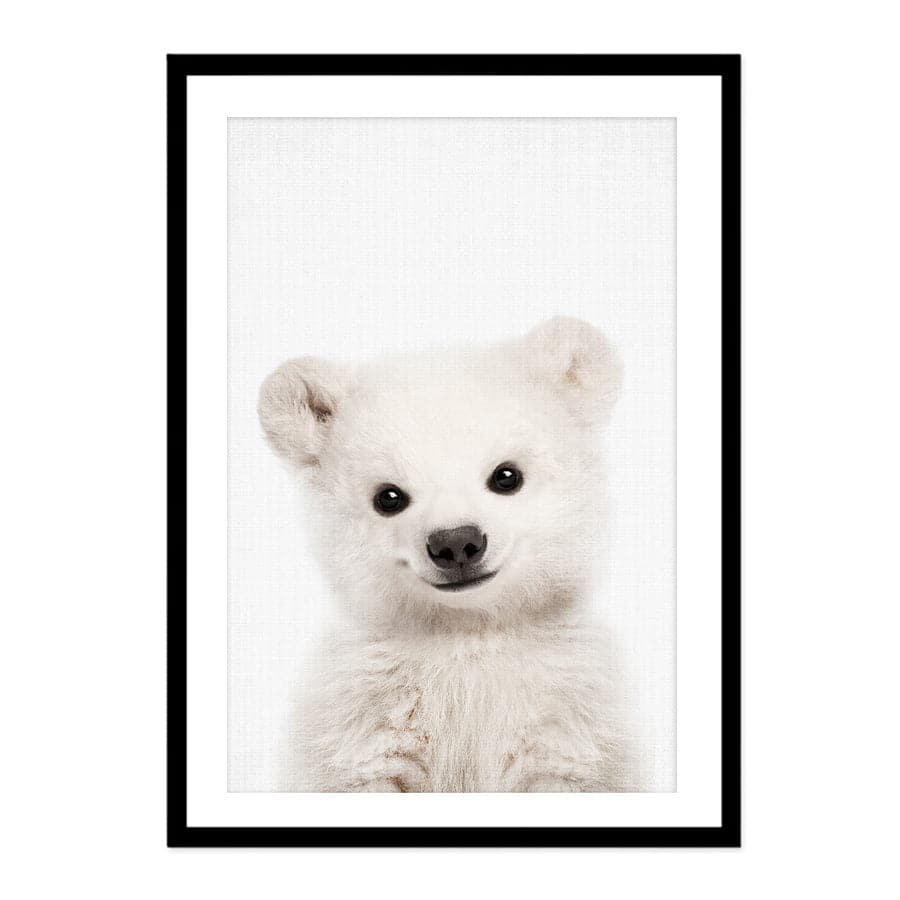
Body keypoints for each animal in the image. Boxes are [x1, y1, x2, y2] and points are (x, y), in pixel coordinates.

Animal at [258, 316, 640, 792]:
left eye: (507, 475)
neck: (465, 634)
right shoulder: (361, 722)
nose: (456, 542)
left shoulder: (569, 721)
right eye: (388, 497)